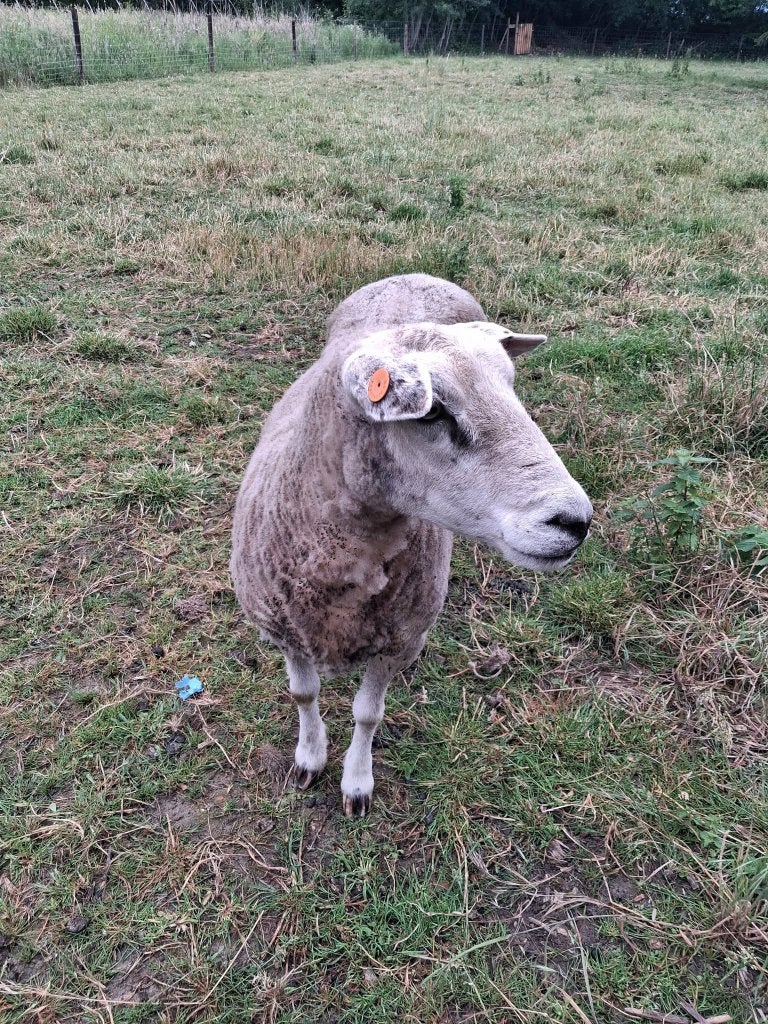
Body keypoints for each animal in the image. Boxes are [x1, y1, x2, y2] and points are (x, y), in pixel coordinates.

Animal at [231, 273, 592, 816]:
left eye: (511, 389)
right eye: (433, 411)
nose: (576, 521)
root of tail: (416, 275)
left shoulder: (395, 640)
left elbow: (367, 714)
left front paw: (356, 782)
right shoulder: (285, 629)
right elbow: (303, 694)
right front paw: (309, 757)